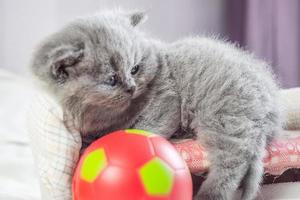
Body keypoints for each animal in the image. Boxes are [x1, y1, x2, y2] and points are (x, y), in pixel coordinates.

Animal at [29, 10, 282, 199]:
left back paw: (208, 194)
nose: (131, 87)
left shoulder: (166, 100)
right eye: (111, 80)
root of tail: (270, 107)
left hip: (221, 115)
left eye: (135, 68)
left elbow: (147, 129)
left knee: (232, 162)